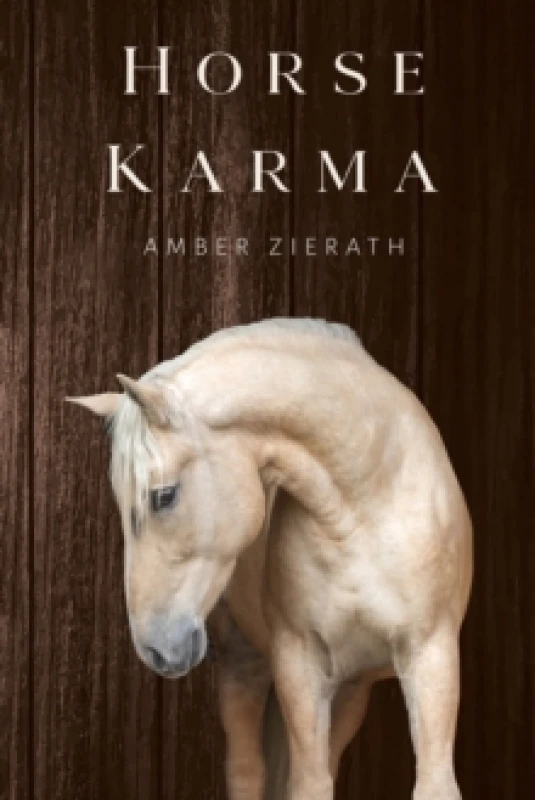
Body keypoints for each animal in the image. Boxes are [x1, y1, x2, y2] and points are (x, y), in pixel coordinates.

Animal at [68, 318, 473, 800]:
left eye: (163, 496)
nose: (155, 650)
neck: (367, 501)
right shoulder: (300, 664)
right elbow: (307, 784)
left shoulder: (430, 657)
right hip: (245, 668)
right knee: (247, 771)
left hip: (349, 690)